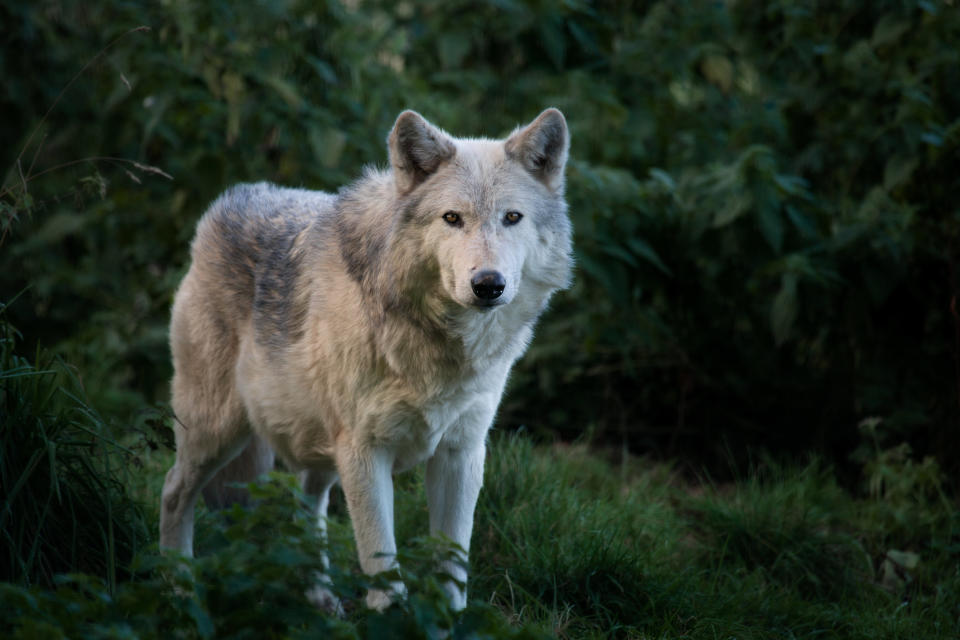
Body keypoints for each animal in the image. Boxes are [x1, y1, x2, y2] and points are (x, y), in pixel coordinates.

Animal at [161, 106, 572, 608]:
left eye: (512, 217)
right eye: (451, 218)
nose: (488, 284)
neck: (435, 346)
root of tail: (232, 198)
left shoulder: (462, 453)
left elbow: (452, 562)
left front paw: (449, 619)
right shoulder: (364, 451)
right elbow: (381, 557)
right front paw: (392, 614)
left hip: (316, 448)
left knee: (308, 506)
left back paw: (319, 595)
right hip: (217, 433)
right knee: (173, 492)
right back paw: (178, 587)